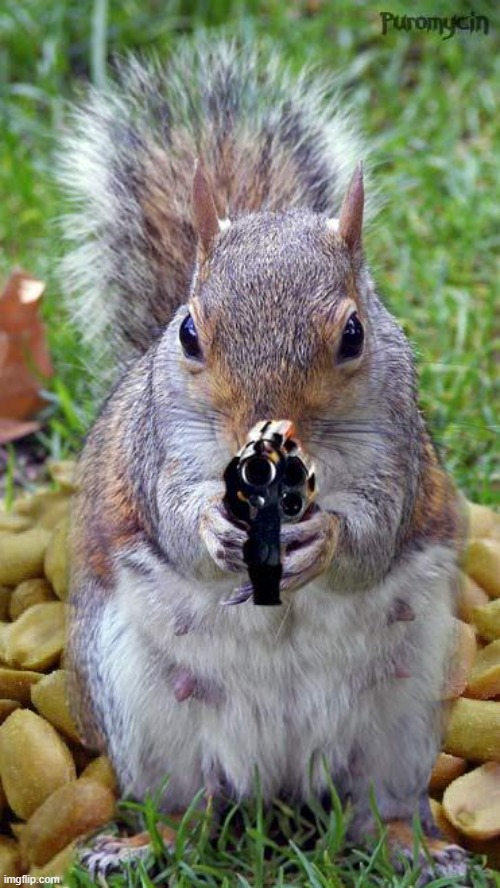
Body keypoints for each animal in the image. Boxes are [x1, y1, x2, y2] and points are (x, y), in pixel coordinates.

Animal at [60, 38, 470, 882]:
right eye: (188, 332)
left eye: (353, 334)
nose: (262, 435)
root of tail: (279, 773)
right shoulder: (156, 451)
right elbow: (173, 519)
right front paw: (213, 531)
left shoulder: (396, 453)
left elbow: (374, 534)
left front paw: (328, 540)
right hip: (144, 711)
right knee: (189, 812)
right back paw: (139, 846)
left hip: (404, 711)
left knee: (368, 810)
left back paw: (413, 848)